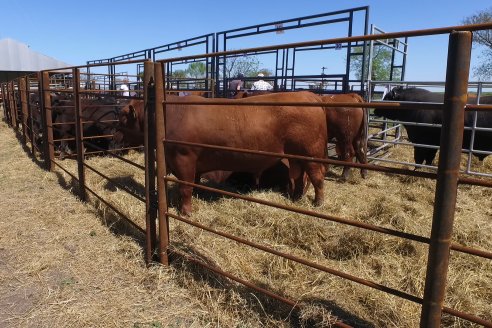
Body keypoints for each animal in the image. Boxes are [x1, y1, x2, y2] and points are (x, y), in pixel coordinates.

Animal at [114, 92, 328, 215]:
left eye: (123, 117)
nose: (114, 137)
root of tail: (310, 95)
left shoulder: (184, 158)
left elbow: (186, 187)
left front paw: (186, 212)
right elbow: (194, 183)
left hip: (311, 153)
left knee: (317, 177)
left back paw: (318, 204)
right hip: (296, 157)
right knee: (299, 177)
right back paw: (297, 199)